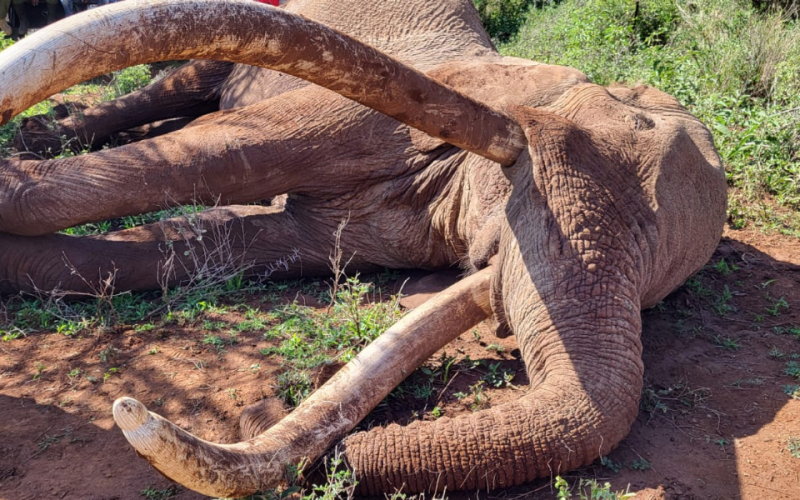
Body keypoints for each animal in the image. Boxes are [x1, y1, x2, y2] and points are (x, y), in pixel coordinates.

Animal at [0, 0, 727, 497]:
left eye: (653, 290)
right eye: (563, 153)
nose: (259, 411)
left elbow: (217, 243)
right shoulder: (444, 95)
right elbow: (232, 147)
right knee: (187, 89)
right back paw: (46, 134)